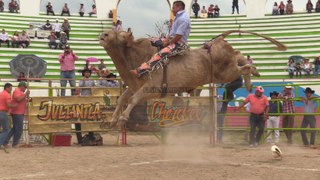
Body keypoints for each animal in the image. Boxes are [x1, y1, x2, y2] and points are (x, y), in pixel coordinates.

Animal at [99, 29, 286, 127]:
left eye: (118, 33)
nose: (103, 34)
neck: (139, 58)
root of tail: (217, 41)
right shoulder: (134, 86)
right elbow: (122, 98)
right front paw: (113, 119)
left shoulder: (150, 89)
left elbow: (133, 99)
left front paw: (123, 118)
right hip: (227, 69)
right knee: (240, 56)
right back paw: (251, 78)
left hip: (225, 73)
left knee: (243, 66)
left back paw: (251, 76)